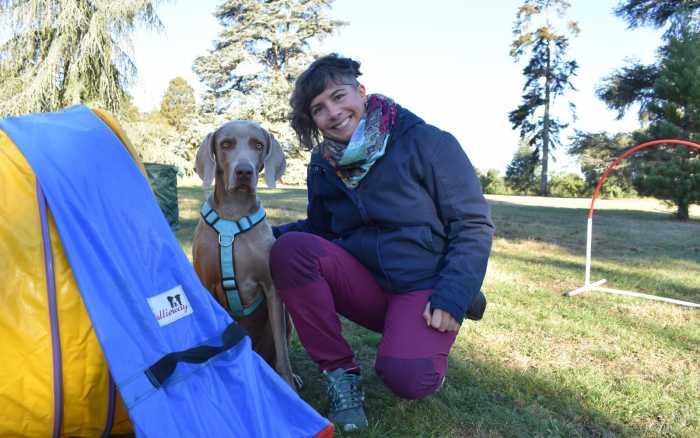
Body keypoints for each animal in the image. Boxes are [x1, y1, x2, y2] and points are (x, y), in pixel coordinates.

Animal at [190, 119, 296, 386]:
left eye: (258, 145)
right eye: (226, 144)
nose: (244, 171)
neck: (233, 213)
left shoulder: (271, 288)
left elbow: (282, 351)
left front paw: (288, 383)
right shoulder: (206, 283)